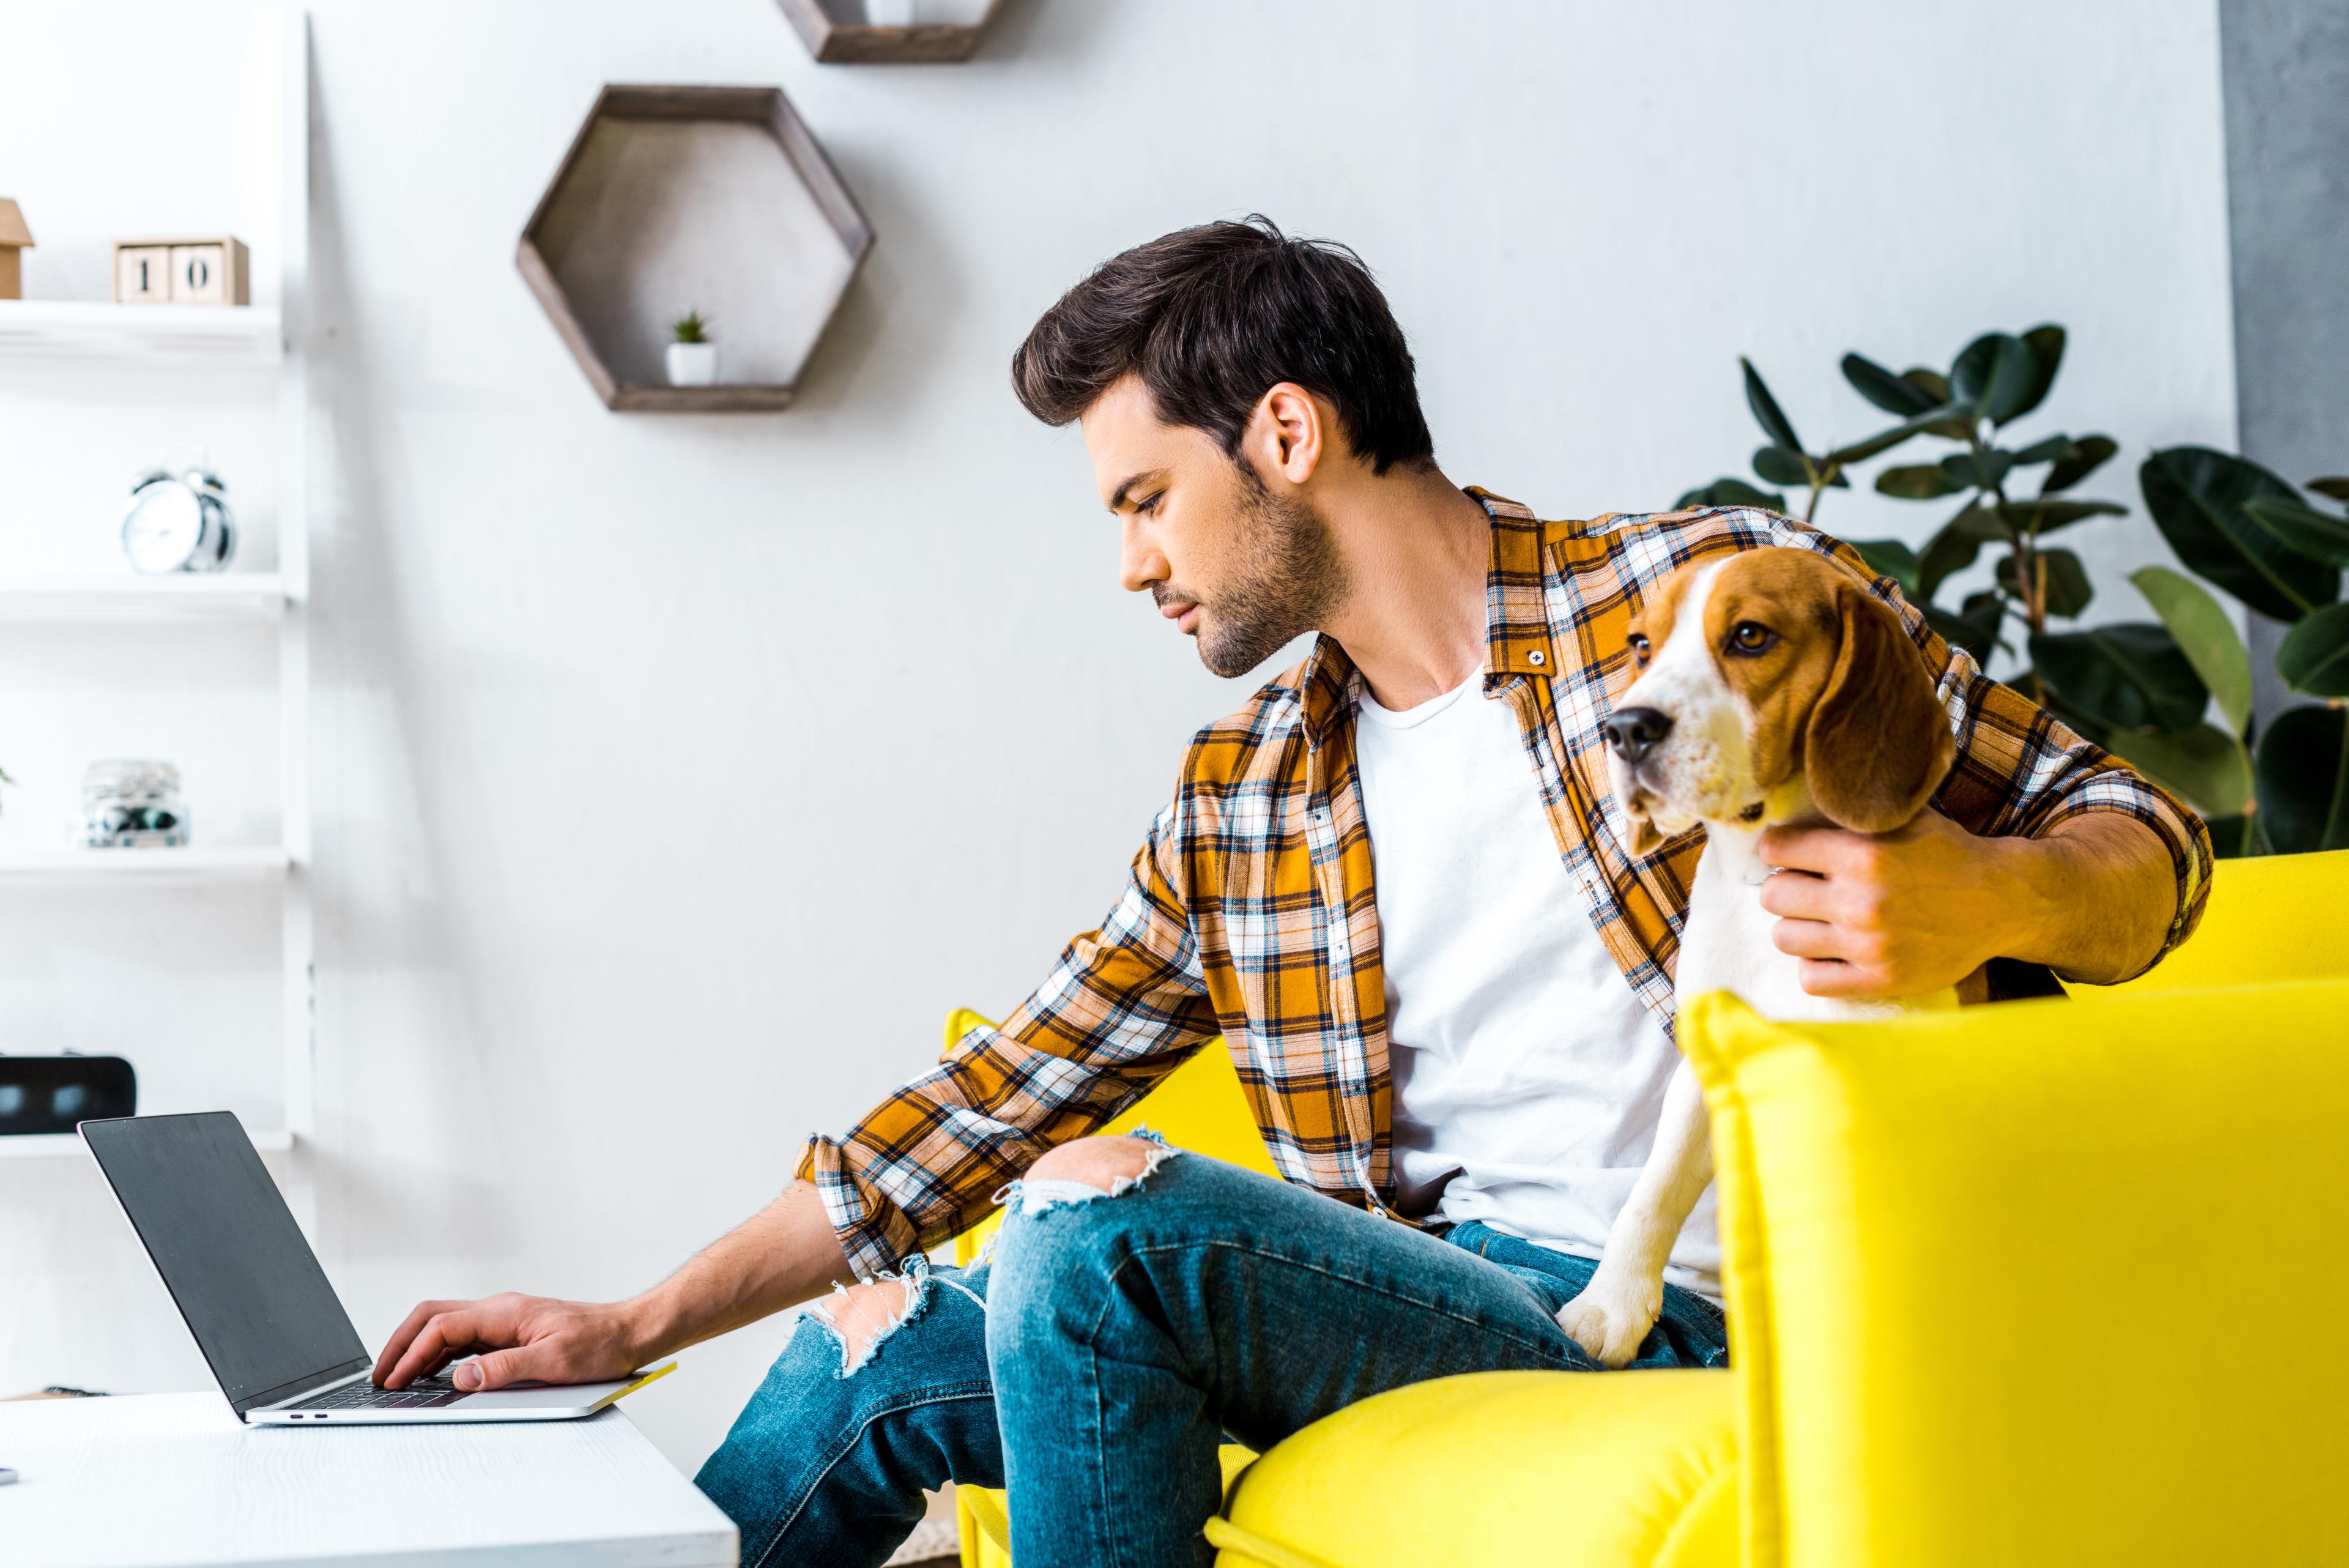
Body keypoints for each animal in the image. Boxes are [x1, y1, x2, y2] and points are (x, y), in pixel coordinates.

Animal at [1559, 545, 1964, 1363]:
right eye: (1642, 644)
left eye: (1750, 636)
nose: (1624, 728)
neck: (1762, 875)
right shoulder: (1706, 1067)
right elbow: (1653, 1194)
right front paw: (1611, 1306)